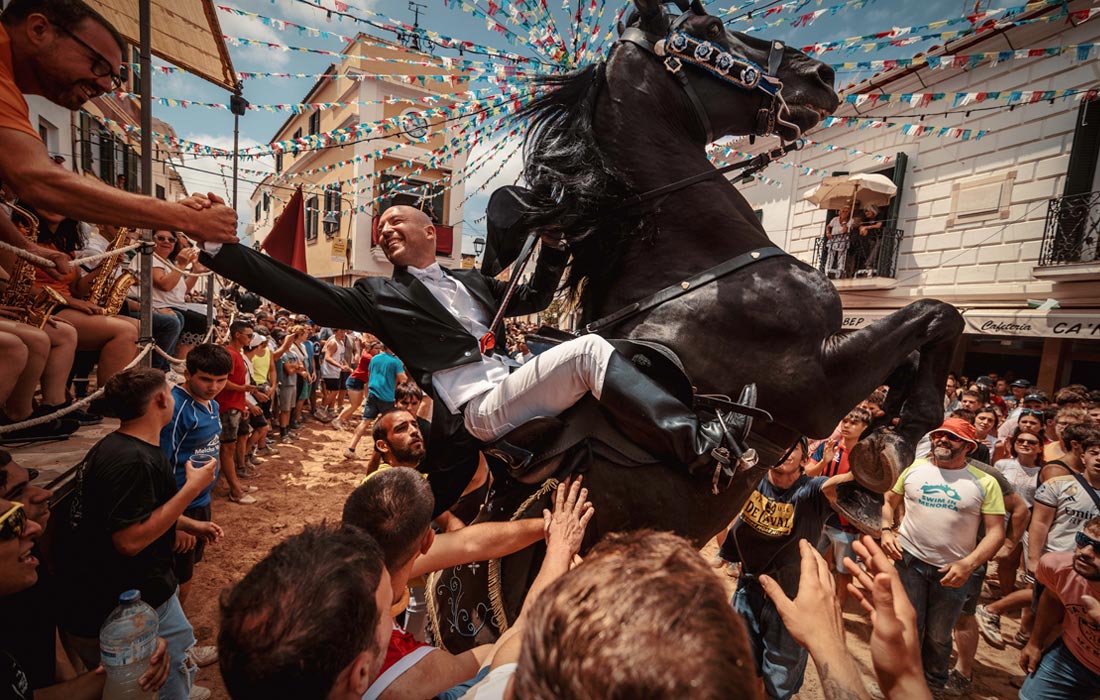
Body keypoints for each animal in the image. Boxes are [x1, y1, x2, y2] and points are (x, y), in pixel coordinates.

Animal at [429, 0, 963, 651]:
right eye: (709, 31)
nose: (821, 75)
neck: (692, 265)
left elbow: (919, 344)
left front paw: (872, 460)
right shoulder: (817, 384)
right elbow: (938, 316)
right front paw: (891, 447)